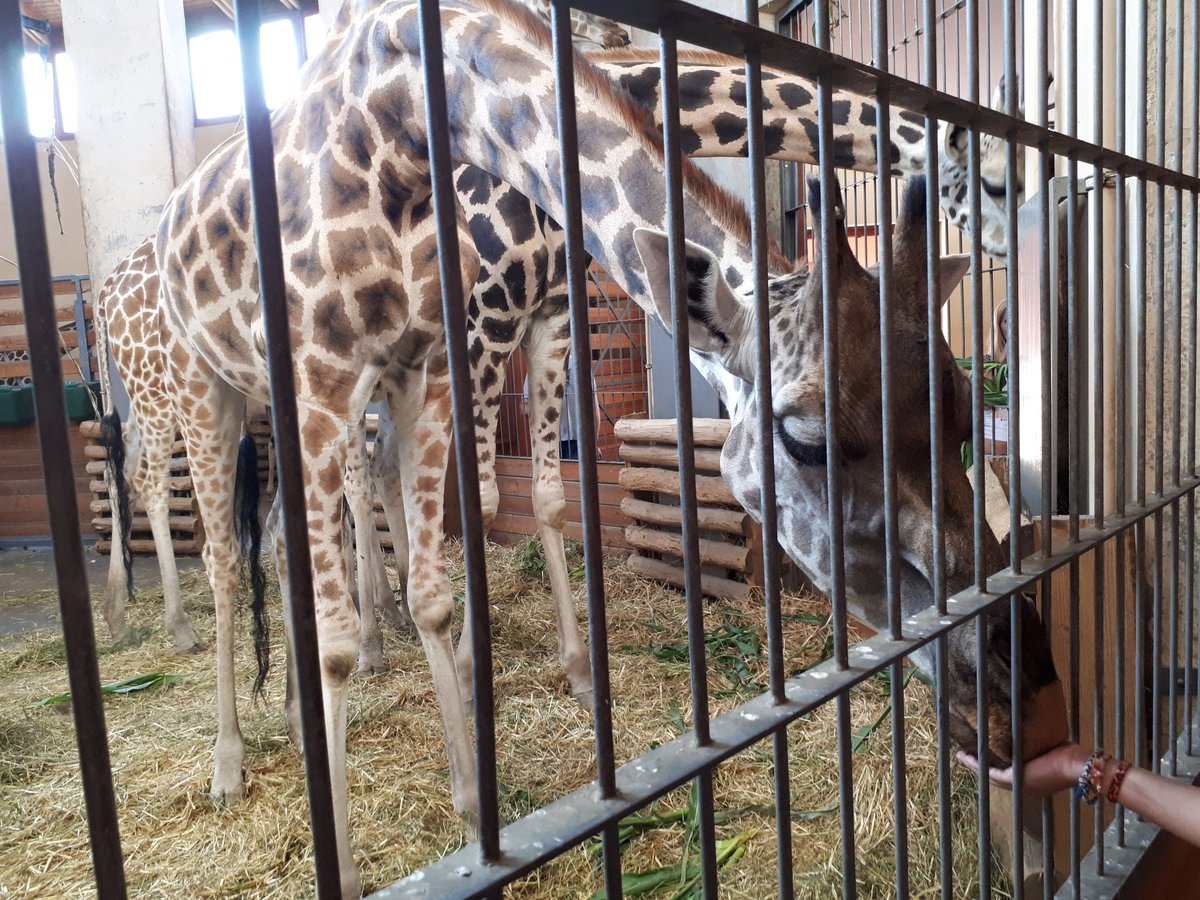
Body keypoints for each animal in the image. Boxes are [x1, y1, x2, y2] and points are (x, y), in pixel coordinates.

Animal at [147, 1, 1061, 895]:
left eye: (962, 412)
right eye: (808, 442)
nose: (1024, 704)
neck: (401, 103)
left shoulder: (511, 333)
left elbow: (538, 501)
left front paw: (552, 692)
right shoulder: (430, 341)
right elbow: (478, 506)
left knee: (311, 521)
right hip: (218, 388)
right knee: (236, 552)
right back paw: (234, 755)